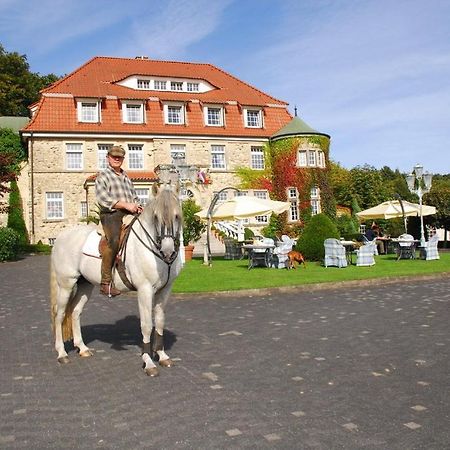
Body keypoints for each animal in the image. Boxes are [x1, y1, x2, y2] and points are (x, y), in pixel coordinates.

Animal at [49, 183, 183, 376]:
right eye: (156, 217)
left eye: (177, 216)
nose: (168, 251)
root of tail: (60, 237)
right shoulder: (145, 290)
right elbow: (146, 325)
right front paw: (148, 362)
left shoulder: (165, 290)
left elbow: (159, 322)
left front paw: (163, 356)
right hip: (66, 284)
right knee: (59, 315)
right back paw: (61, 353)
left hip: (85, 286)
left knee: (75, 312)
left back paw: (82, 348)